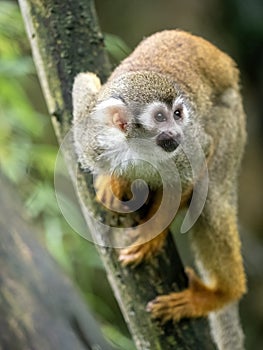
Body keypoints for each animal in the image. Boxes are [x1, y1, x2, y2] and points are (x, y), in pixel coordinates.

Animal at [72, 30, 248, 350]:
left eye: (178, 114)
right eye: (159, 117)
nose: (177, 131)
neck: (135, 147)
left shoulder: (189, 146)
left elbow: (198, 163)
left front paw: (152, 234)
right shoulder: (89, 133)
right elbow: (84, 82)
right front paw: (112, 181)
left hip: (232, 122)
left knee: (211, 198)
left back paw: (220, 295)